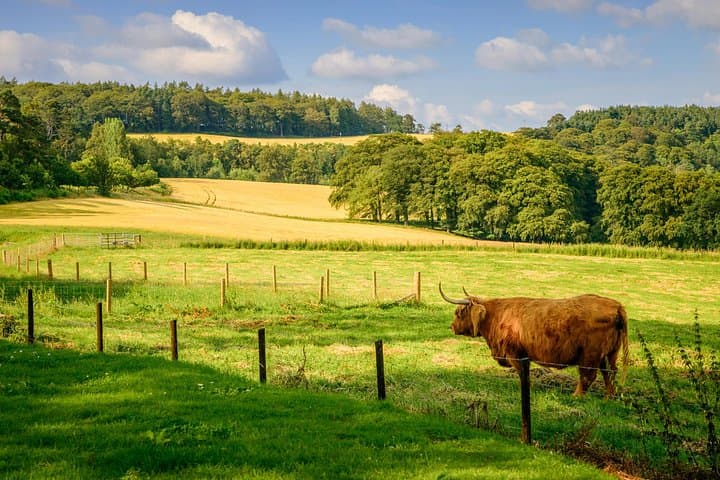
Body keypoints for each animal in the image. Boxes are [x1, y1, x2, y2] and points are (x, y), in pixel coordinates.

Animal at [439, 283, 629, 397]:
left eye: (458, 312)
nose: (452, 327)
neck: (495, 316)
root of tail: (616, 306)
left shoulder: (515, 353)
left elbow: (522, 374)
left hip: (590, 355)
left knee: (588, 376)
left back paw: (576, 396)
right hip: (609, 354)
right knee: (610, 373)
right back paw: (609, 397)